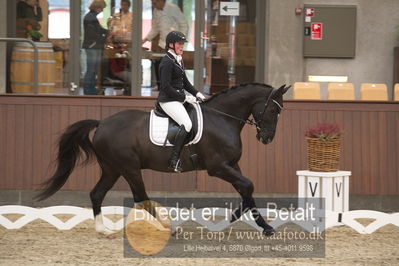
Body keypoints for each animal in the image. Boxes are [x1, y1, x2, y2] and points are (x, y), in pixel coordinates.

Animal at [36, 82, 290, 235]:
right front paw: (246, 219)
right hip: (129, 168)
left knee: (97, 194)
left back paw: (103, 230)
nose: (267, 138)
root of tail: (102, 123)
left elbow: (246, 188)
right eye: (273, 110)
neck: (222, 118)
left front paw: (256, 222)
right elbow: (248, 185)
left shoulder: (232, 164)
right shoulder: (217, 167)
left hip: (112, 169)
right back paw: (170, 227)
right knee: (141, 197)